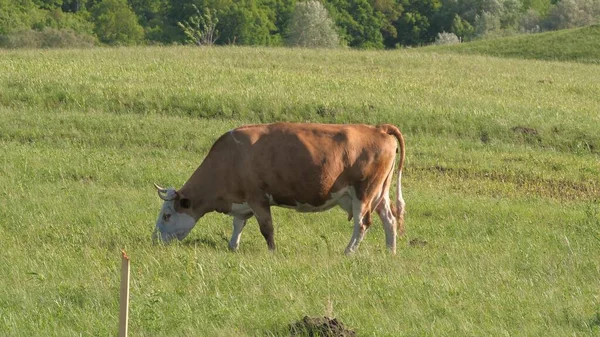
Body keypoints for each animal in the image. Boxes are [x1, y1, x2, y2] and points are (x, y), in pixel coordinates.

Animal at [154, 122, 408, 253]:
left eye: (167, 215)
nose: (154, 238)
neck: (232, 156)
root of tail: (379, 129)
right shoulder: (242, 201)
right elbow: (238, 224)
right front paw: (233, 247)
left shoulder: (258, 199)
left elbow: (267, 229)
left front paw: (271, 251)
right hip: (379, 193)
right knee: (389, 220)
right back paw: (390, 251)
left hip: (363, 194)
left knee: (362, 224)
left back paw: (348, 252)